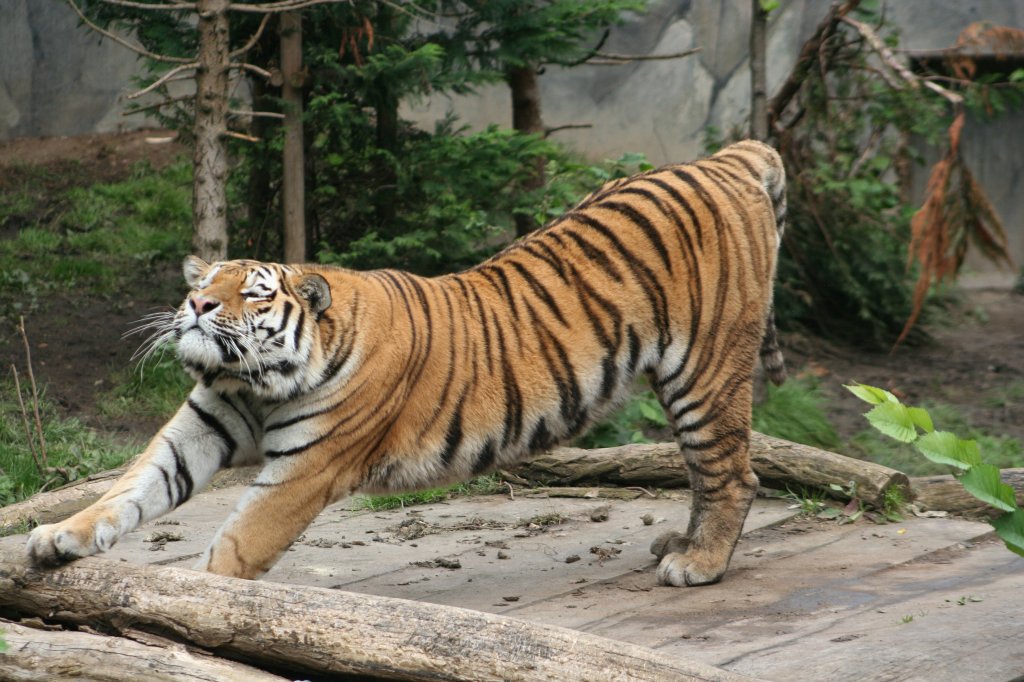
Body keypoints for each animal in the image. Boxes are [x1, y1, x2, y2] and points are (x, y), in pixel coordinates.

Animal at [28, 139, 786, 585]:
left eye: (252, 290)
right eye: (204, 282)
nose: (196, 305)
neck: (255, 382)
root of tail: (722, 158)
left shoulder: (305, 472)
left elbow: (233, 548)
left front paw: (187, 601)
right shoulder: (201, 426)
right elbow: (128, 489)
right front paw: (56, 539)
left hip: (705, 371)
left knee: (732, 473)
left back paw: (698, 564)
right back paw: (678, 545)